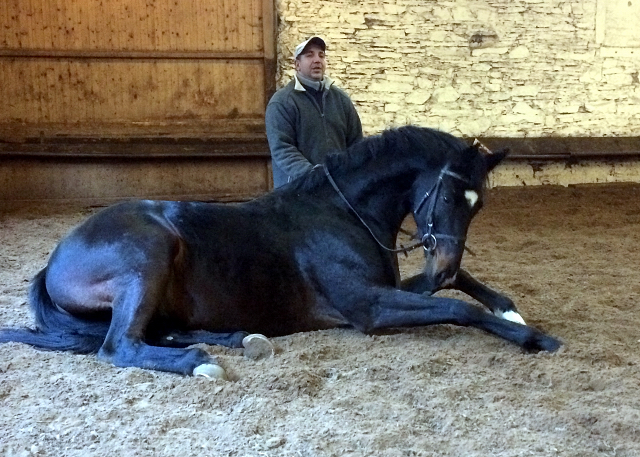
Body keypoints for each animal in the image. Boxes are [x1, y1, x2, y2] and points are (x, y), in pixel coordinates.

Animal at [0, 126, 560, 376]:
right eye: (446, 196)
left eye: (479, 205)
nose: (441, 264)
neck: (339, 211)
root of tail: (54, 260)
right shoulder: (369, 307)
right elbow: (455, 308)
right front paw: (534, 337)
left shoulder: (388, 286)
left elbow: (463, 292)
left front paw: (508, 308)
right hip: (148, 254)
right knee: (119, 346)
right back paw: (201, 361)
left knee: (155, 331)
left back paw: (243, 338)